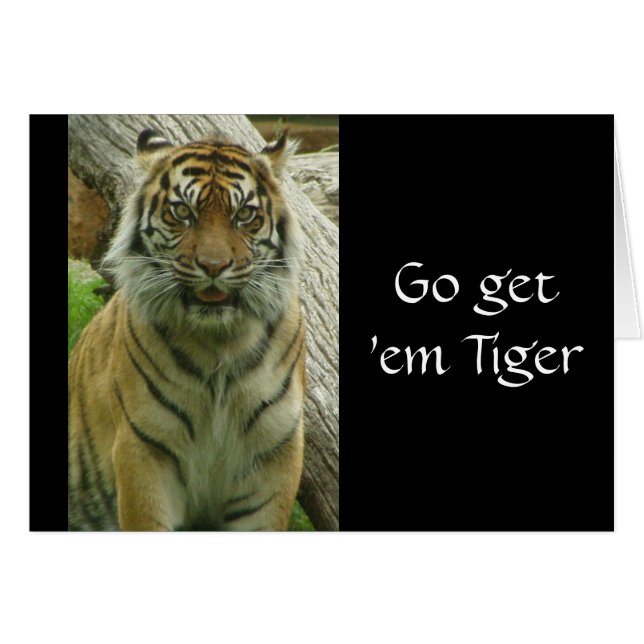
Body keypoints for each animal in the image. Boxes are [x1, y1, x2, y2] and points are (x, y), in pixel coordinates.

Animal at [68, 127, 306, 531]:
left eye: (244, 215)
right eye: (183, 212)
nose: (213, 266)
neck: (220, 343)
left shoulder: (273, 454)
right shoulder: (144, 448)